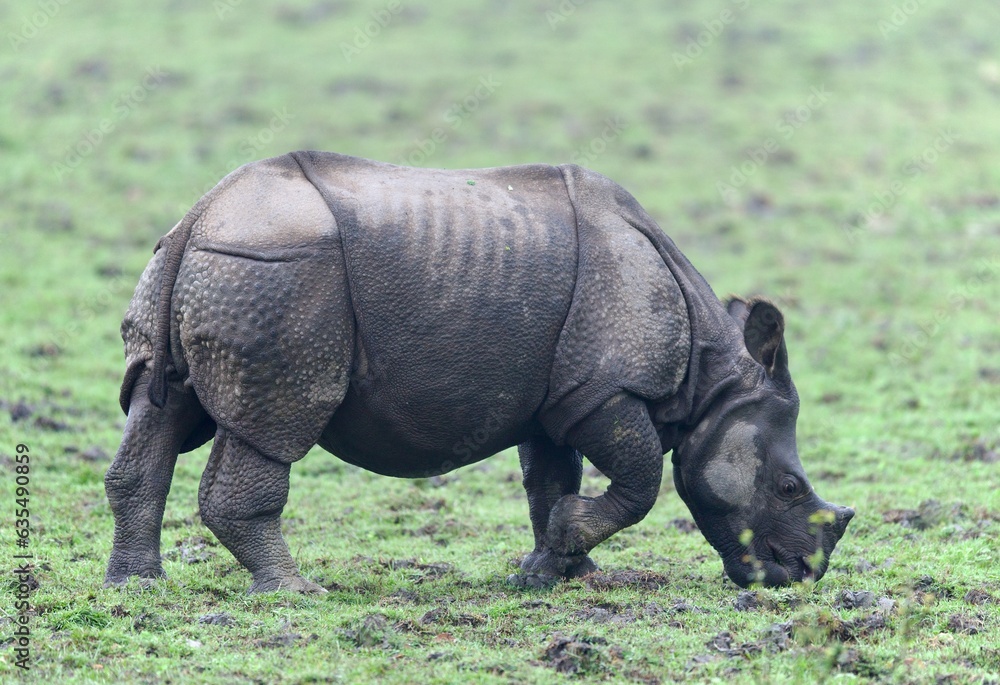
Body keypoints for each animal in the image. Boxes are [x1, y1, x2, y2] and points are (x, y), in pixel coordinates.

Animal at [104, 151, 853, 594]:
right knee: (275, 424)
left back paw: (135, 587)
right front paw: (569, 546)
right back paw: (296, 591)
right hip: (276, 271)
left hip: (211, 267)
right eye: (789, 486)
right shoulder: (604, 390)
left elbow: (549, 479)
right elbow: (640, 479)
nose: (799, 575)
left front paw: (558, 569)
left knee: (159, 412)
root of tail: (202, 213)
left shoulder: (557, 398)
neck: (710, 383)